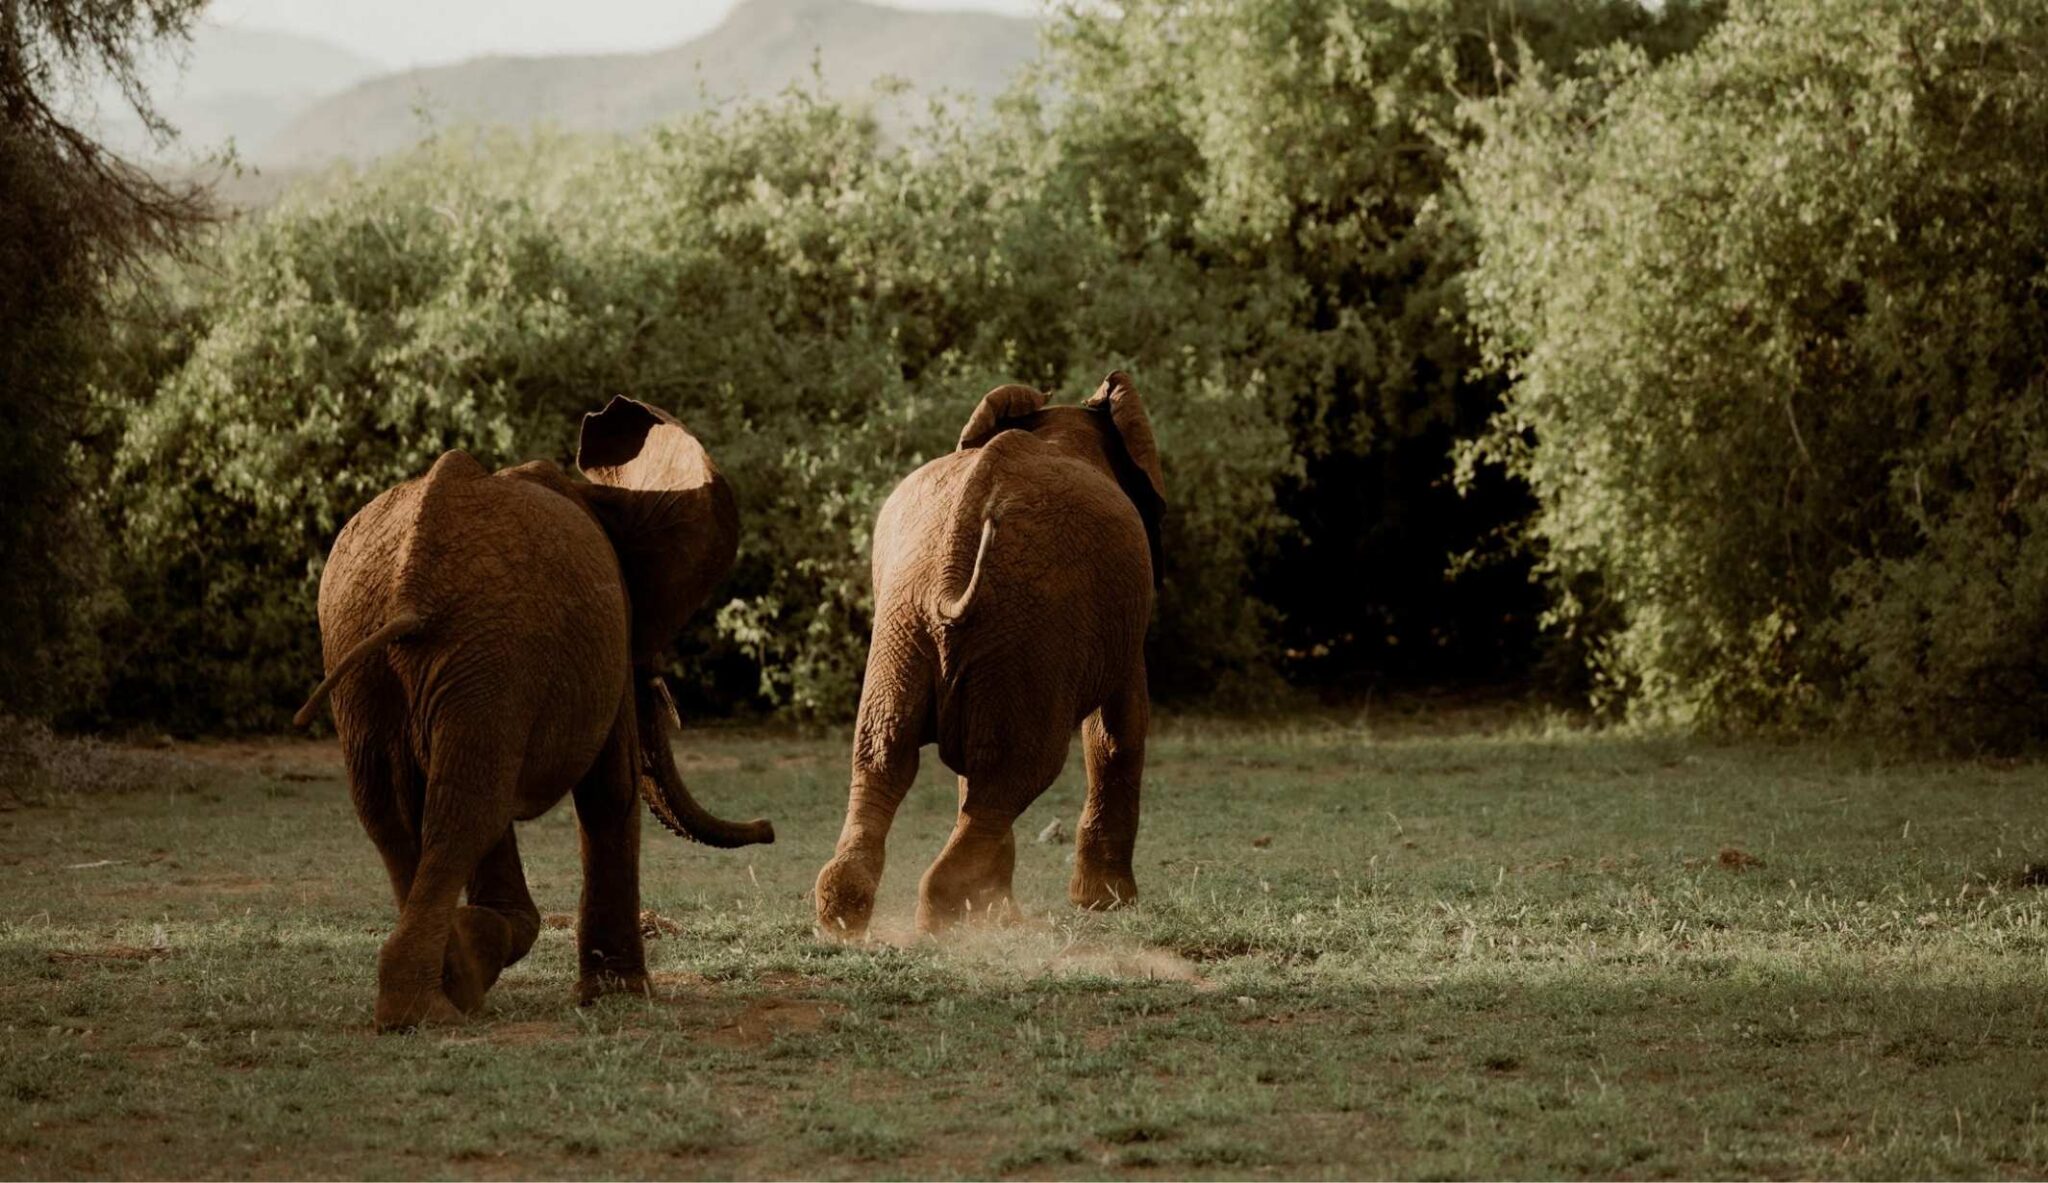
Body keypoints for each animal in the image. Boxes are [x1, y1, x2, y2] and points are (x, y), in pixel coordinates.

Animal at [293, 396, 774, 1030]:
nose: (769, 828)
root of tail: (408, 584)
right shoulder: (603, 635)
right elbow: (610, 791)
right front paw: (617, 996)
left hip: (380, 644)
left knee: (397, 809)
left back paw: (443, 987)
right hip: (481, 646)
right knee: (463, 810)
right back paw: (430, 1005)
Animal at [814, 372, 1165, 938]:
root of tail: (952, 563)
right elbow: (1117, 728)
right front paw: (1107, 906)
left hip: (912, 621)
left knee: (886, 753)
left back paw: (847, 916)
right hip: (1024, 625)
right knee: (1015, 770)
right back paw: (950, 916)